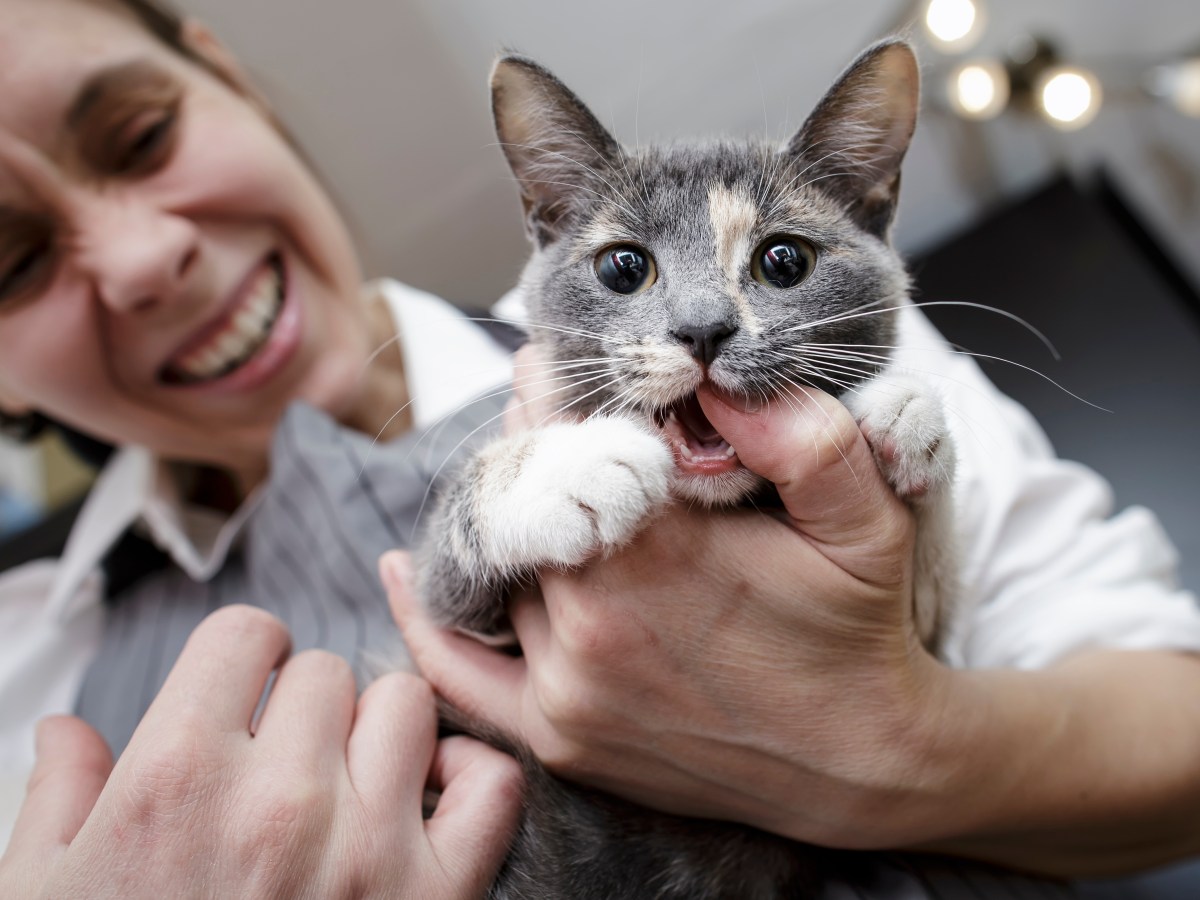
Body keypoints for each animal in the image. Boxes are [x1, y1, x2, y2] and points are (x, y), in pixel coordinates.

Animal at [417, 40, 960, 900]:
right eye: (622, 267)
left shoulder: (932, 644)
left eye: (784, 260)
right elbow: (447, 564)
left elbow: (935, 592)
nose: (703, 329)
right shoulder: (452, 625)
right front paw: (574, 466)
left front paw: (904, 410)